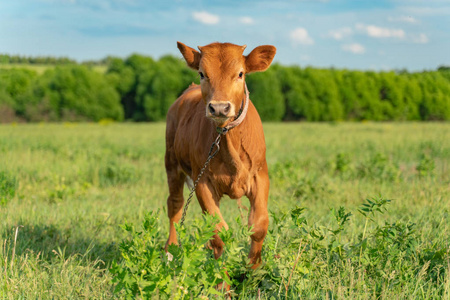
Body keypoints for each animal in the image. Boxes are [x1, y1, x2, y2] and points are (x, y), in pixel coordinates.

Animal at [166, 40, 278, 268]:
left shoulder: (260, 175)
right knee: (175, 204)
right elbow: (219, 232)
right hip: (172, 163)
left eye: (240, 74)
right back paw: (170, 252)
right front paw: (222, 277)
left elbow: (259, 225)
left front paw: (252, 271)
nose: (219, 108)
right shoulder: (202, 181)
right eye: (202, 73)